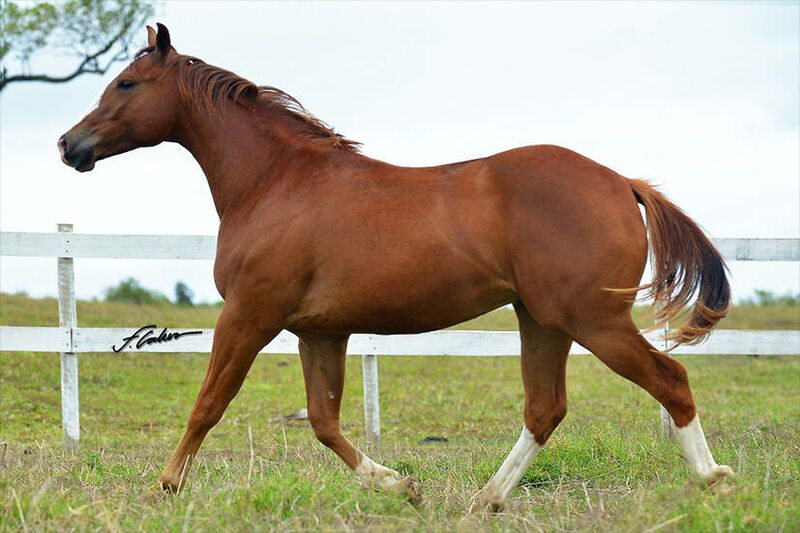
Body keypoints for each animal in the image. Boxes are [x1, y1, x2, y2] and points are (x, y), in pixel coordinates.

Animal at [57, 26, 732, 512]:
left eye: (125, 83)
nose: (68, 145)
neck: (277, 183)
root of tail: (623, 182)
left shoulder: (249, 315)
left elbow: (209, 403)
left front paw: (166, 486)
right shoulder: (320, 331)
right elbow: (324, 422)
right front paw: (401, 486)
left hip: (591, 318)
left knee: (669, 379)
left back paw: (713, 479)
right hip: (543, 320)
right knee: (545, 409)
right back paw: (485, 501)